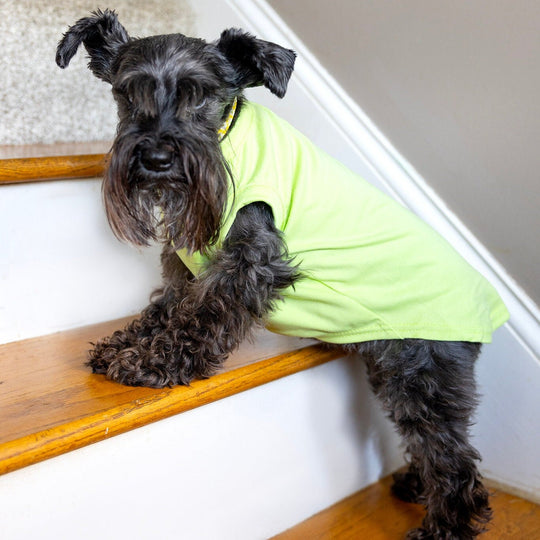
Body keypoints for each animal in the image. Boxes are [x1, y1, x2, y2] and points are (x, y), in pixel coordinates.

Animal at [57, 9, 508, 540]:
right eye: (128, 93)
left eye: (202, 94)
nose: (157, 160)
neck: (227, 141)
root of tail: (488, 311)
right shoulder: (185, 265)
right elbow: (167, 306)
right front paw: (126, 343)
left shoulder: (248, 262)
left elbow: (200, 317)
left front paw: (155, 363)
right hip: (395, 373)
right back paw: (416, 486)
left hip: (423, 377)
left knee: (455, 463)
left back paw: (442, 527)